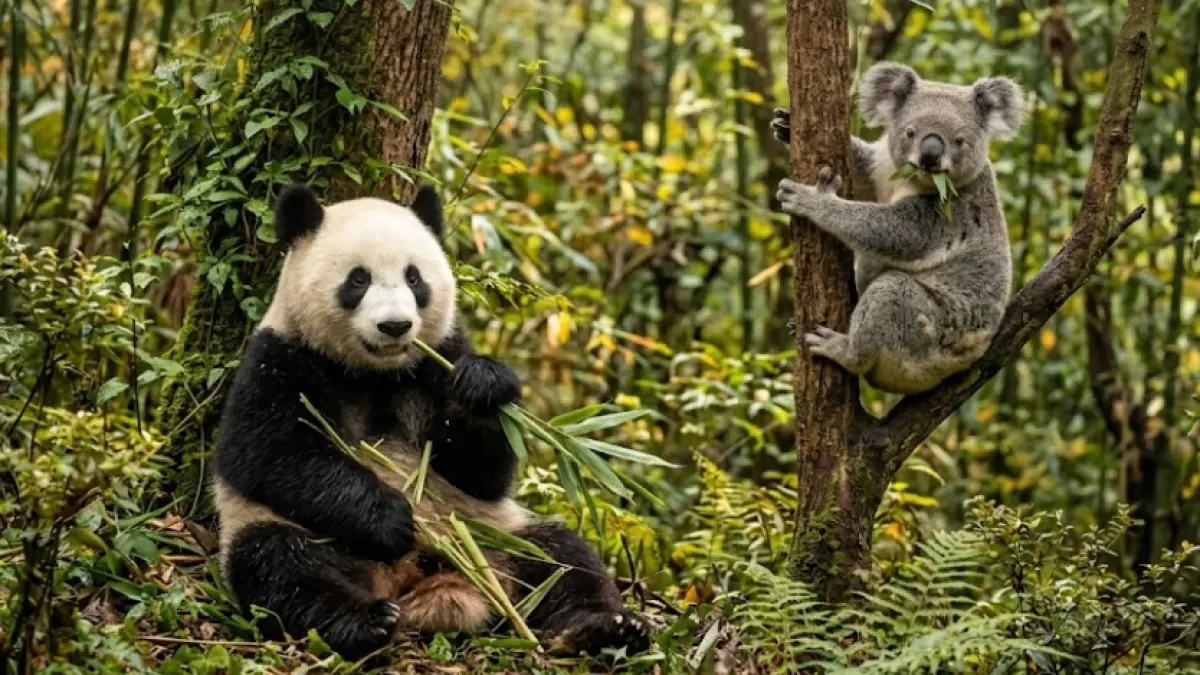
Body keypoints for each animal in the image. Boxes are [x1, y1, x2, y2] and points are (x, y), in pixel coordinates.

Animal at [212, 184, 652, 659]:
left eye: (414, 279)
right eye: (358, 280)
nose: (395, 325)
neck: (372, 373)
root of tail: (418, 583)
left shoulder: (437, 359)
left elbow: (482, 474)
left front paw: (483, 385)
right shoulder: (279, 357)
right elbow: (269, 455)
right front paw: (390, 519)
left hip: (494, 535)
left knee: (561, 558)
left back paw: (605, 626)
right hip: (284, 531)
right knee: (281, 566)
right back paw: (364, 620)